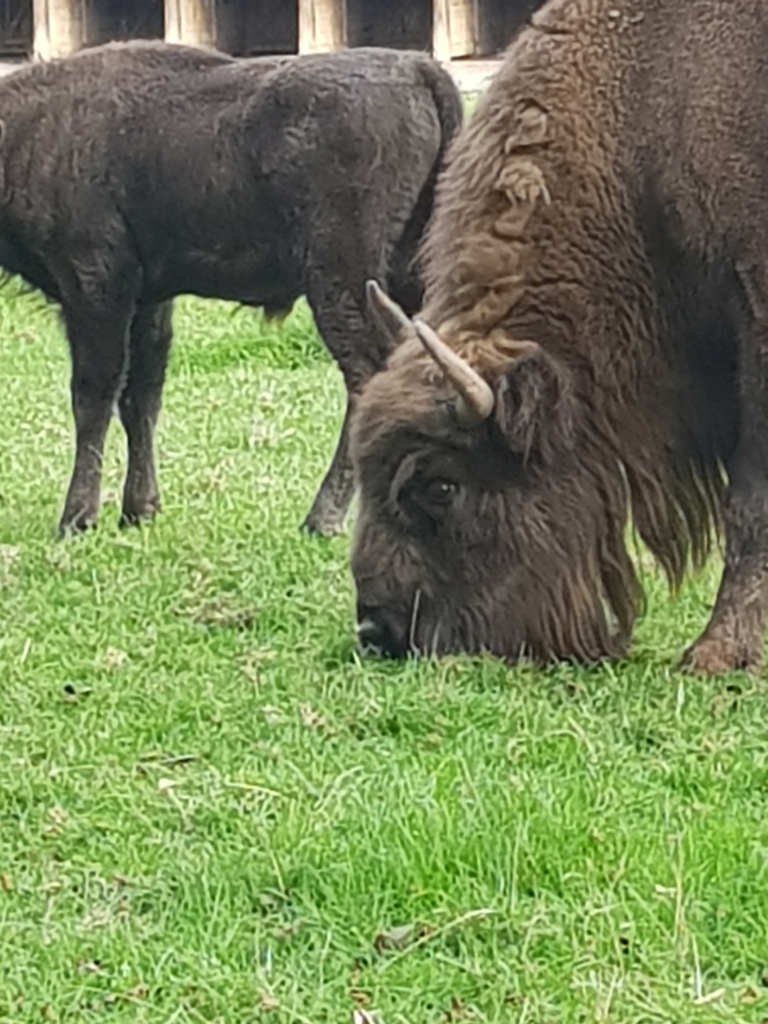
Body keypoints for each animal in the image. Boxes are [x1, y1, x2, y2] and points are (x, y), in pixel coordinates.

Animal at [0, 41, 461, 536]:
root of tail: (417, 66)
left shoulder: (95, 286)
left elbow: (94, 395)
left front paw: (77, 518)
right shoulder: (149, 300)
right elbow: (140, 397)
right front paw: (139, 510)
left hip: (342, 279)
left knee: (368, 377)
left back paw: (322, 519)